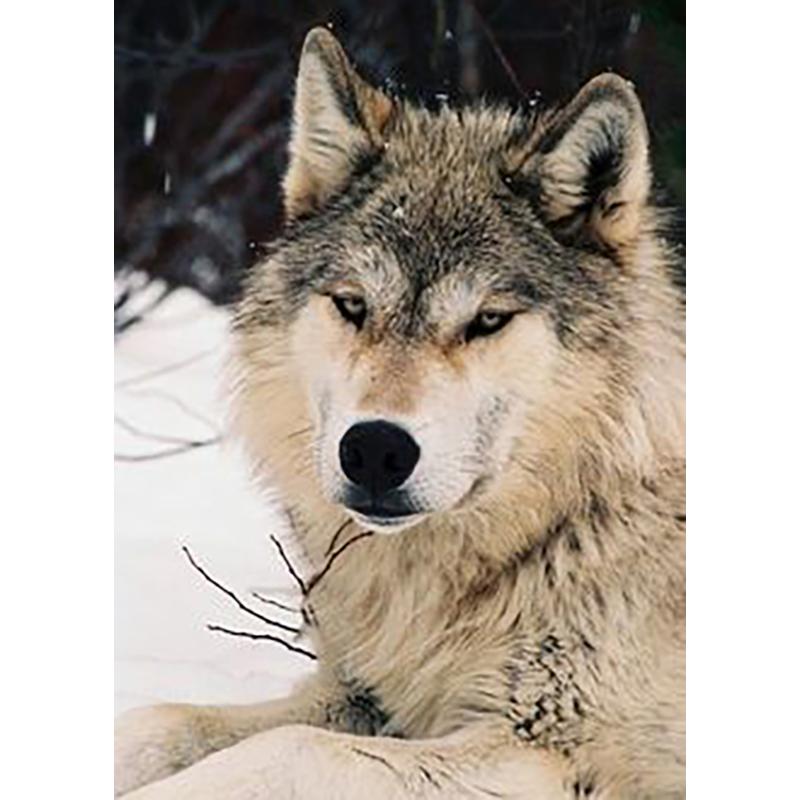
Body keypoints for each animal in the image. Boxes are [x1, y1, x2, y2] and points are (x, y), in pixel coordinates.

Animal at [115, 26, 685, 799]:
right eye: (353, 305)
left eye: (486, 320)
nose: (376, 450)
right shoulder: (362, 695)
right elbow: (159, 721)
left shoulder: (552, 752)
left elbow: (286, 750)